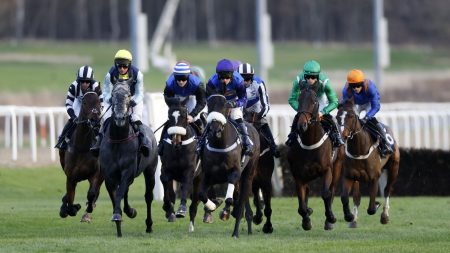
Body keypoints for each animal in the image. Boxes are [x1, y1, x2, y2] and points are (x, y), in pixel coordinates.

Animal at [58, 90, 103, 221]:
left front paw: (87, 208)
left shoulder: (95, 173)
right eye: (84, 102)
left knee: (96, 192)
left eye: (98, 102)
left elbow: (92, 193)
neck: (82, 147)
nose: (94, 120)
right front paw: (71, 208)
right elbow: (70, 198)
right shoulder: (71, 177)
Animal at [99, 81, 159, 237]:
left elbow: (120, 193)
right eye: (113, 94)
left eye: (128, 95)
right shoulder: (109, 175)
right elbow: (115, 196)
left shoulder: (127, 171)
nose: (120, 117)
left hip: (150, 170)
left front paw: (119, 215)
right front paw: (119, 219)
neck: (118, 140)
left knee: (148, 197)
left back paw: (148, 225)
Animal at [189, 94, 260, 238]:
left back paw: (236, 232)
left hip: (248, 174)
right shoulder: (208, 175)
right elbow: (202, 194)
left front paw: (225, 212)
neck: (220, 144)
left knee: (242, 201)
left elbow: (229, 199)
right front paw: (212, 206)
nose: (215, 129)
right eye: (209, 106)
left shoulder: (234, 173)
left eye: (224, 106)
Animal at [286, 85, 342, 231]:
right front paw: (306, 220)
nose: (302, 125)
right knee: (307, 191)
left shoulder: (327, 170)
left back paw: (329, 220)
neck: (310, 143)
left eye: (314, 101)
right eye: (299, 100)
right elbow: (301, 202)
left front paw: (330, 218)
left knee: (332, 189)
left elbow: (326, 194)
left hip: (337, 165)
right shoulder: (298, 174)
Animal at [336, 98, 400, 226]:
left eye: (351, 116)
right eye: (337, 116)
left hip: (394, 168)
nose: (343, 136)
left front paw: (377, 204)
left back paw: (385, 216)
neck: (359, 150)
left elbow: (371, 208)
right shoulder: (349, 176)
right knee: (357, 196)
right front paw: (350, 217)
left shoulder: (374, 178)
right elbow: (345, 197)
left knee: (387, 190)